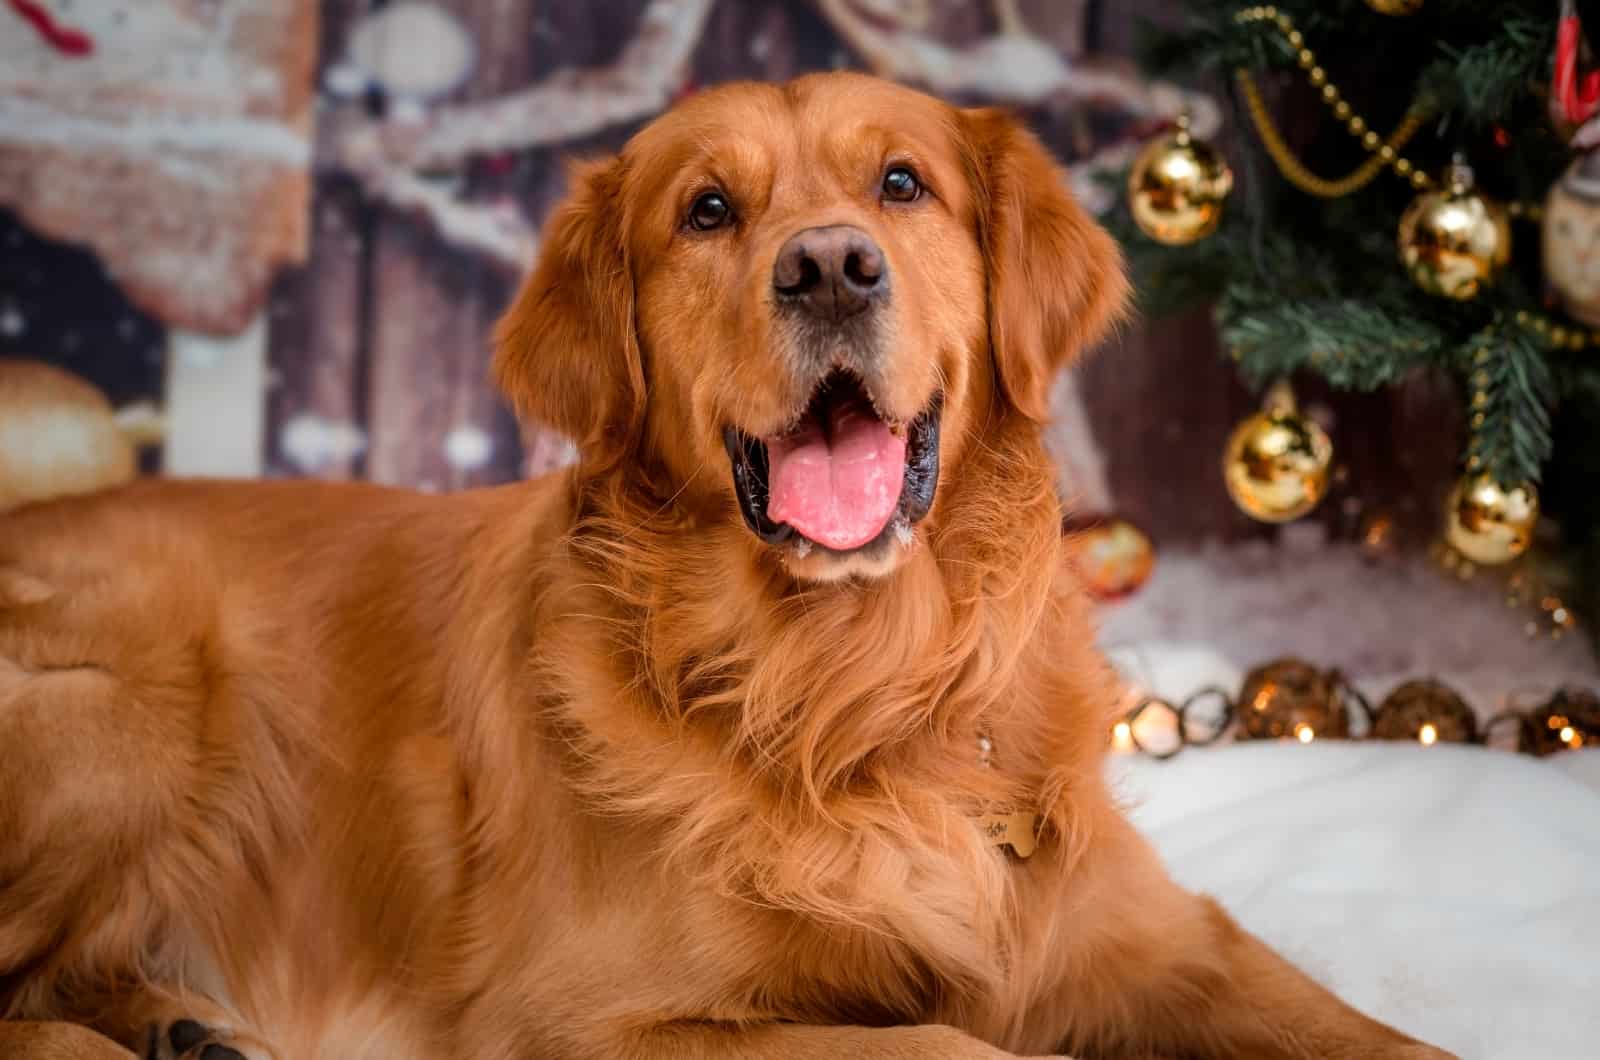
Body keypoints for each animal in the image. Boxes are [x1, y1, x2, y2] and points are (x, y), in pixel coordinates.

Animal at [0, 76, 1452, 1060]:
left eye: (902, 186)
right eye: (707, 211)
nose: (830, 267)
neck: (855, 689)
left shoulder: (1162, 939)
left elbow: (1368, 1029)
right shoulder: (588, 1020)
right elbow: (947, 1038)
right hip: (150, 694)